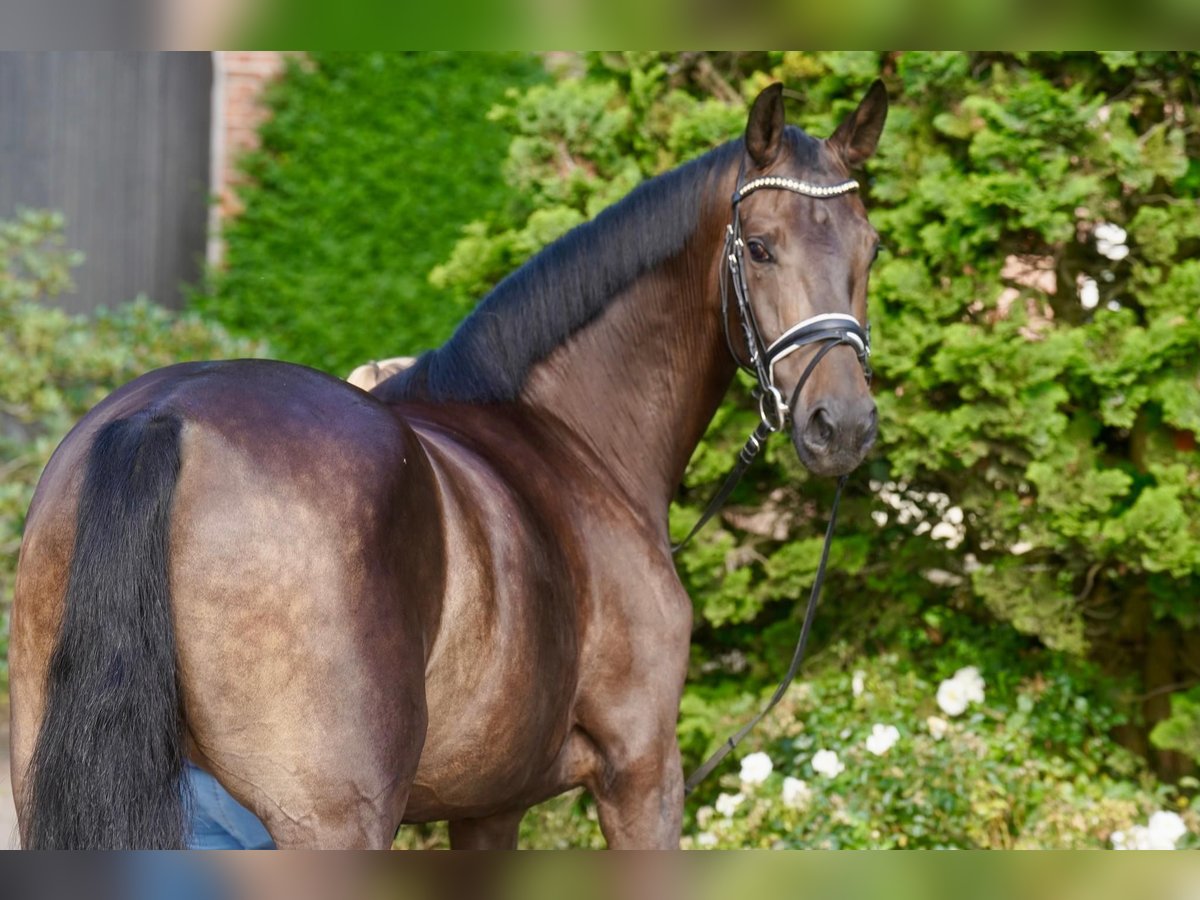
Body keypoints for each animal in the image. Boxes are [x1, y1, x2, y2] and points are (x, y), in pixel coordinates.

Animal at [9, 81, 888, 849]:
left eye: (871, 248)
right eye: (761, 247)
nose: (840, 424)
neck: (572, 440)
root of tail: (164, 417)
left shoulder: (487, 806)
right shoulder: (641, 772)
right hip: (331, 821)